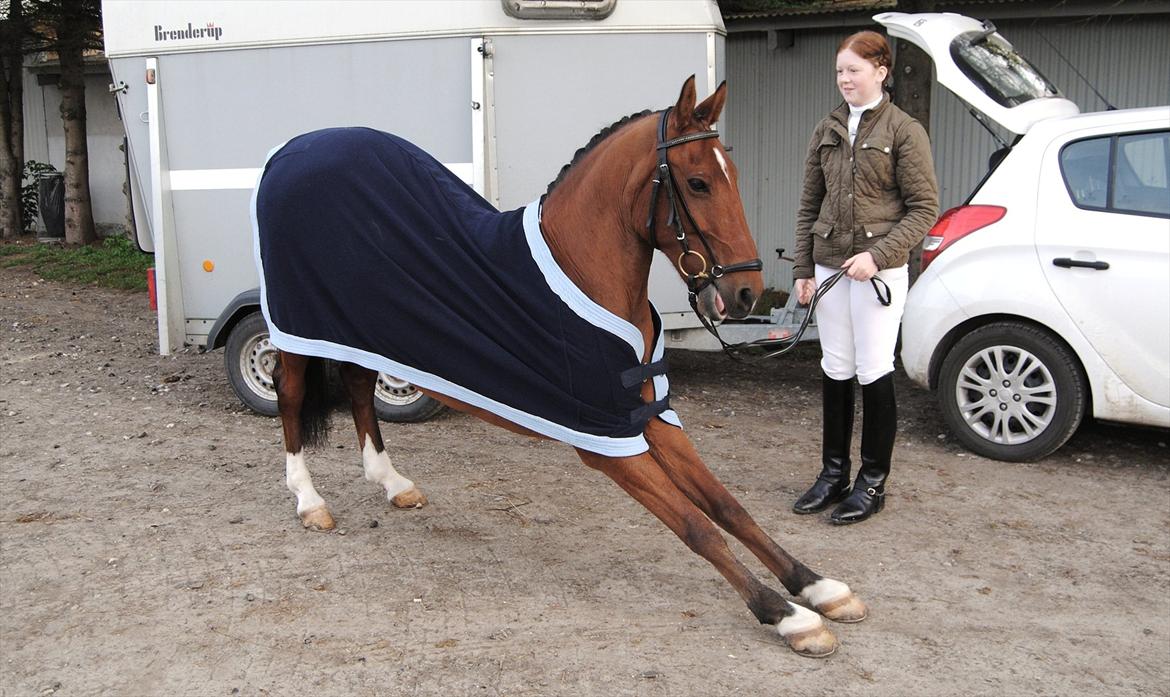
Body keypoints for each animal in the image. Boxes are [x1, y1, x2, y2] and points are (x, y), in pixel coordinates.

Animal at [258, 77, 870, 659]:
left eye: (733, 174)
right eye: (698, 182)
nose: (744, 293)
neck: (584, 274)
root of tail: (291, 151)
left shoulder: (649, 415)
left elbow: (728, 507)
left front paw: (818, 588)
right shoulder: (608, 442)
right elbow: (699, 528)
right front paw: (787, 616)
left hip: (359, 331)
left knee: (360, 388)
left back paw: (392, 484)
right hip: (298, 327)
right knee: (291, 397)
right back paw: (309, 501)